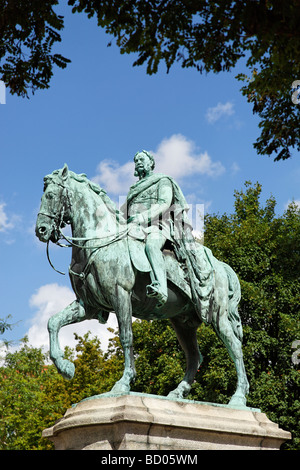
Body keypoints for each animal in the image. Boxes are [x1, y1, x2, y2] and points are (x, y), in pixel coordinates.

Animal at [35, 165, 250, 408]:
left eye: (50, 196)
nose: (41, 230)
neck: (98, 242)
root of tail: (222, 266)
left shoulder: (120, 294)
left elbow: (126, 337)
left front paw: (123, 383)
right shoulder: (87, 306)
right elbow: (53, 323)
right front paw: (66, 367)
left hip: (217, 314)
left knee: (235, 348)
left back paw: (238, 398)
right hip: (183, 323)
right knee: (195, 357)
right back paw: (177, 393)